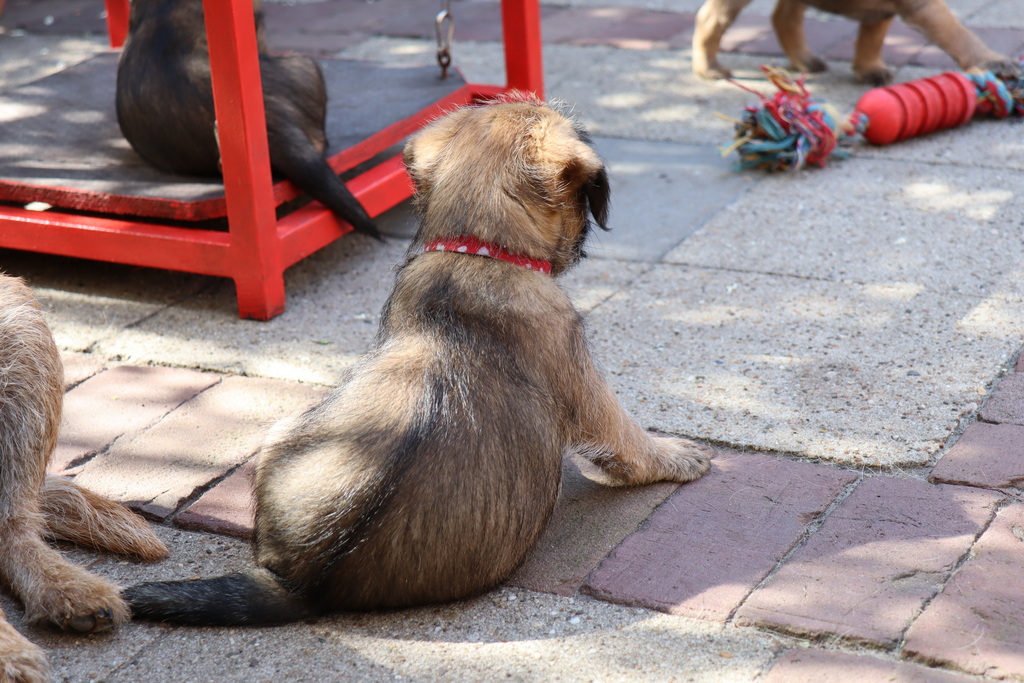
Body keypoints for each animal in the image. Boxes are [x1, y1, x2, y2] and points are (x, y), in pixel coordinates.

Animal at [123, 98, 714, 626]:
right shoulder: (586, 382)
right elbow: (628, 440)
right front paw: (678, 456)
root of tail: (301, 583)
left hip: (283, 432)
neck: (478, 254)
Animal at [693, 0, 1021, 85]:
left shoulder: (883, 12)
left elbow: (871, 38)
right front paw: (992, 62)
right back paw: (708, 68)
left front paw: (869, 69)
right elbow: (956, 32)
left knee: (784, 17)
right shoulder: (925, 7)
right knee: (710, 19)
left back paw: (804, 60)